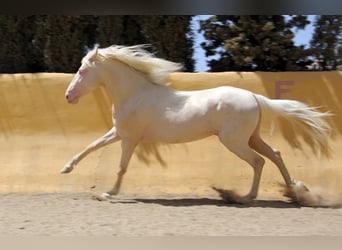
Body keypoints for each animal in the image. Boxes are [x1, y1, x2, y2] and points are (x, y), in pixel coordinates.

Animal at [59, 45, 332, 204]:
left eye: (82, 71)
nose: (68, 96)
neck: (135, 94)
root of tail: (255, 97)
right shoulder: (118, 132)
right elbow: (91, 146)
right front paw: (65, 169)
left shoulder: (130, 138)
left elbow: (121, 167)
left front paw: (108, 193)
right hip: (251, 137)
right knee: (275, 154)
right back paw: (295, 190)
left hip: (234, 141)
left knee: (258, 161)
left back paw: (247, 197)